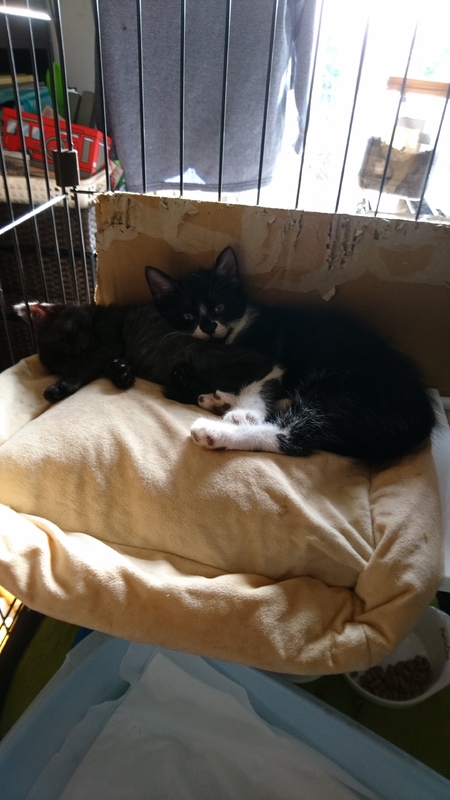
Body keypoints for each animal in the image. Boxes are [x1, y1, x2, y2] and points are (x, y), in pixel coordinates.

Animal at [14, 297, 273, 405]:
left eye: (65, 336)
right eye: (64, 362)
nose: (78, 352)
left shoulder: (109, 341)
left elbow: (87, 367)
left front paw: (60, 387)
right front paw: (121, 373)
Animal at [145, 247, 437, 466]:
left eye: (219, 306)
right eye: (187, 315)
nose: (207, 326)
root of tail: (422, 415)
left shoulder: (272, 360)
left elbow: (259, 383)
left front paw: (245, 412)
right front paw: (227, 400)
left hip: (343, 387)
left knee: (294, 438)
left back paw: (217, 431)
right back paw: (222, 403)